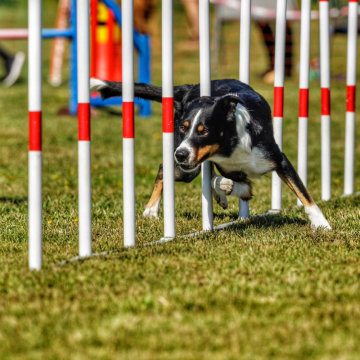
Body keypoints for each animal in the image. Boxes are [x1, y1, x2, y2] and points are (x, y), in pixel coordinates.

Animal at [90, 79, 332, 231]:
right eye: (183, 128)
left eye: (204, 130)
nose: (180, 154)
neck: (232, 145)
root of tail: (188, 89)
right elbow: (231, 183)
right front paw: (224, 188)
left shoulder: (278, 160)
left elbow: (303, 193)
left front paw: (322, 224)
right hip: (188, 170)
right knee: (164, 169)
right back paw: (151, 209)